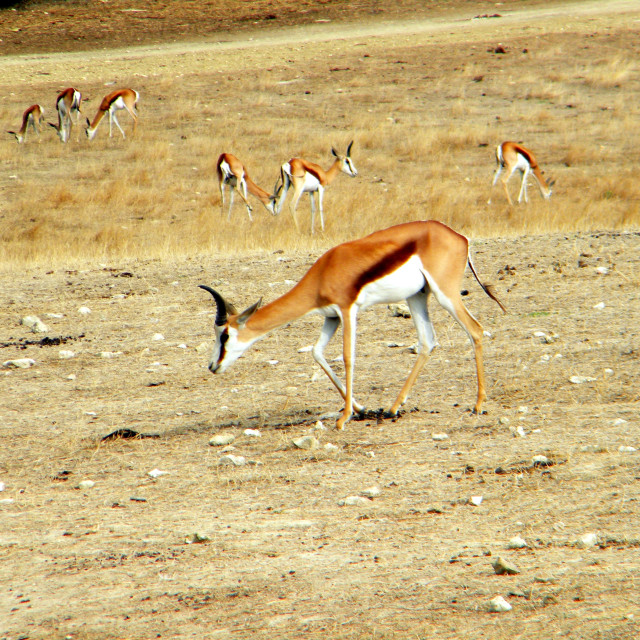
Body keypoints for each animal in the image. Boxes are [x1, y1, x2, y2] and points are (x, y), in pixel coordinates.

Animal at [199, 220, 504, 430]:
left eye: (224, 335)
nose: (212, 366)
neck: (324, 273)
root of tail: (458, 236)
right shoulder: (330, 317)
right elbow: (317, 353)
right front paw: (360, 408)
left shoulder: (348, 311)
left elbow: (347, 357)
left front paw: (343, 418)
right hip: (417, 296)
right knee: (428, 341)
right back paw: (392, 408)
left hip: (445, 294)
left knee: (475, 330)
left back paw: (478, 405)